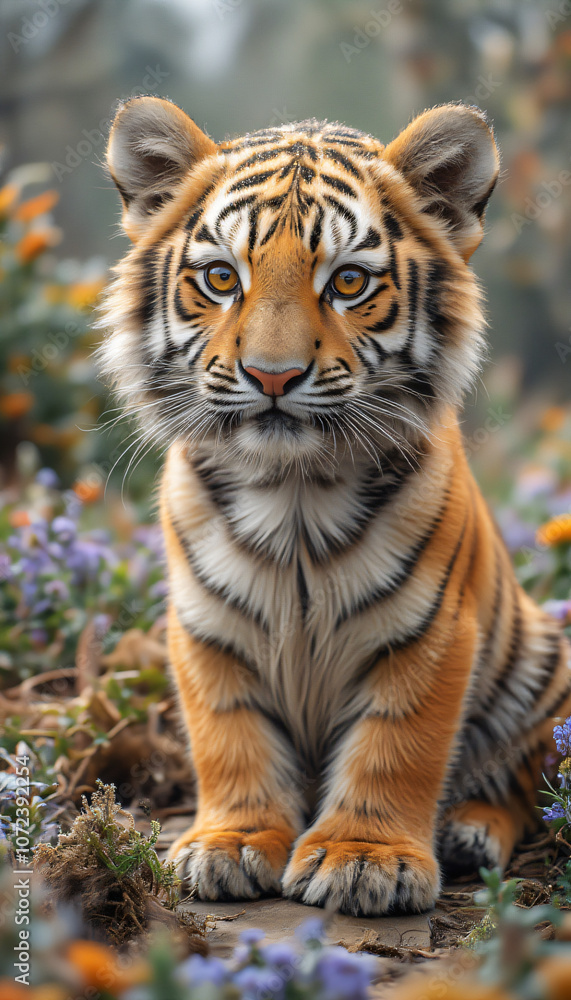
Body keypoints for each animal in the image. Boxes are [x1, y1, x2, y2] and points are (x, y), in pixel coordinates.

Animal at [99, 96, 571, 916]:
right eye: (220, 277)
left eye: (348, 282)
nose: (272, 375)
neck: (293, 492)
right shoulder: (208, 629)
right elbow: (230, 739)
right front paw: (229, 843)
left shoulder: (430, 633)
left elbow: (396, 745)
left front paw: (365, 860)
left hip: (543, 662)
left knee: (521, 779)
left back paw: (469, 833)